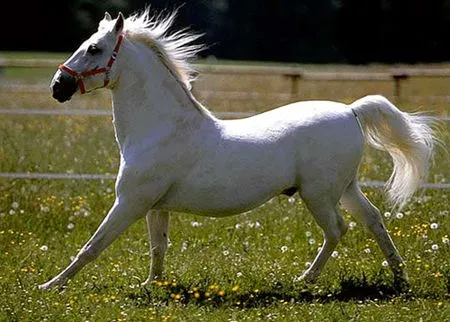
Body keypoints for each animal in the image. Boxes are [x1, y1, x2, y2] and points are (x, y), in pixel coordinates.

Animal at [39, 10, 436, 290]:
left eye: (94, 48)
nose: (57, 87)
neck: (161, 129)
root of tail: (352, 110)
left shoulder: (130, 203)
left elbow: (92, 246)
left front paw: (50, 286)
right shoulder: (155, 206)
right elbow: (158, 248)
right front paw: (152, 285)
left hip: (319, 194)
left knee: (337, 230)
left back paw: (305, 280)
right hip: (346, 188)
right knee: (373, 219)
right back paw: (399, 278)